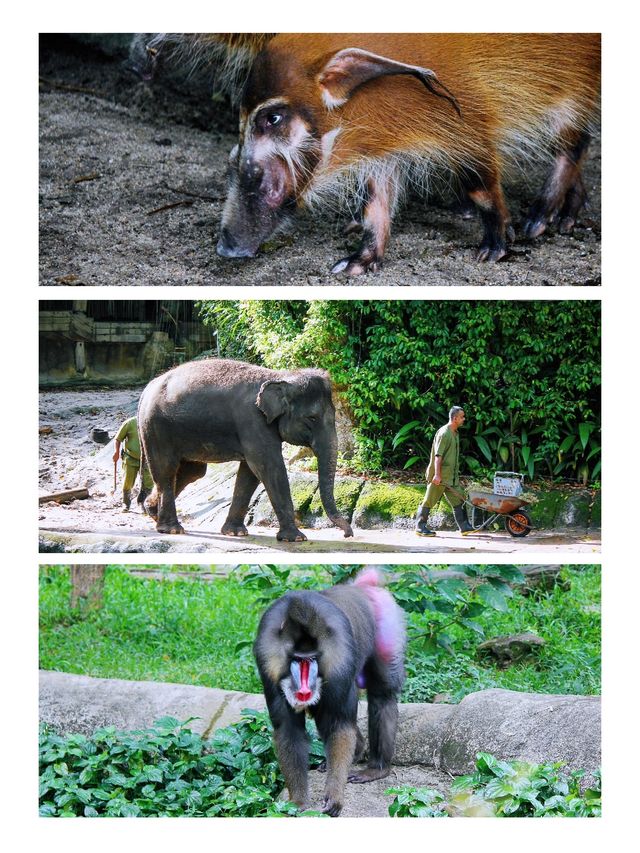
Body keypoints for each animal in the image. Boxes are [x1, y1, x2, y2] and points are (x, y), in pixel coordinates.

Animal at [136, 358, 356, 540]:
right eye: (312, 418)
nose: (348, 535)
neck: (281, 377)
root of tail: (146, 389)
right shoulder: (252, 421)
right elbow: (269, 466)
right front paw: (296, 538)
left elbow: (250, 472)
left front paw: (236, 533)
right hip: (156, 427)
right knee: (167, 469)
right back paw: (171, 529)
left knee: (192, 471)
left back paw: (152, 511)